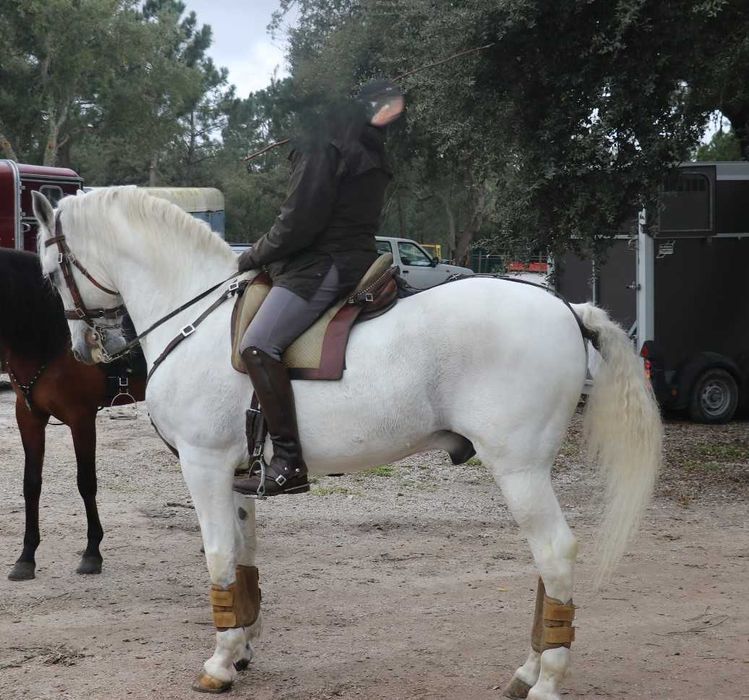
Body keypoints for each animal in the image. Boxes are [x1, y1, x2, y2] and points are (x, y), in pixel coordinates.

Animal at [0, 248, 145, 581]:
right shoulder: (28, 416)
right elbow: (31, 484)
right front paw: (26, 557)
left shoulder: (81, 418)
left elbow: (86, 482)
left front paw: (92, 553)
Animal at [32, 187, 661, 700]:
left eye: (50, 273)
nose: (86, 349)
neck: (196, 323)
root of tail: (566, 308)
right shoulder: (236, 474)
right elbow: (244, 557)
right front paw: (242, 649)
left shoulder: (203, 465)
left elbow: (218, 556)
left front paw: (218, 663)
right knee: (546, 565)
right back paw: (529, 670)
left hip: (519, 469)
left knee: (554, 552)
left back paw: (547, 681)